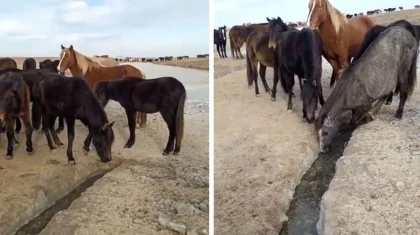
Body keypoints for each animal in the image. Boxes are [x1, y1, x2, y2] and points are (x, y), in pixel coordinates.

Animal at [316, 25, 418, 153]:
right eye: (317, 134)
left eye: (325, 132)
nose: (323, 150)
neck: (347, 91)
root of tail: (411, 36)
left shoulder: (364, 104)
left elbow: (353, 121)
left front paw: (365, 119)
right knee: (386, 91)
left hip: (403, 70)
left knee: (403, 92)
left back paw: (397, 115)